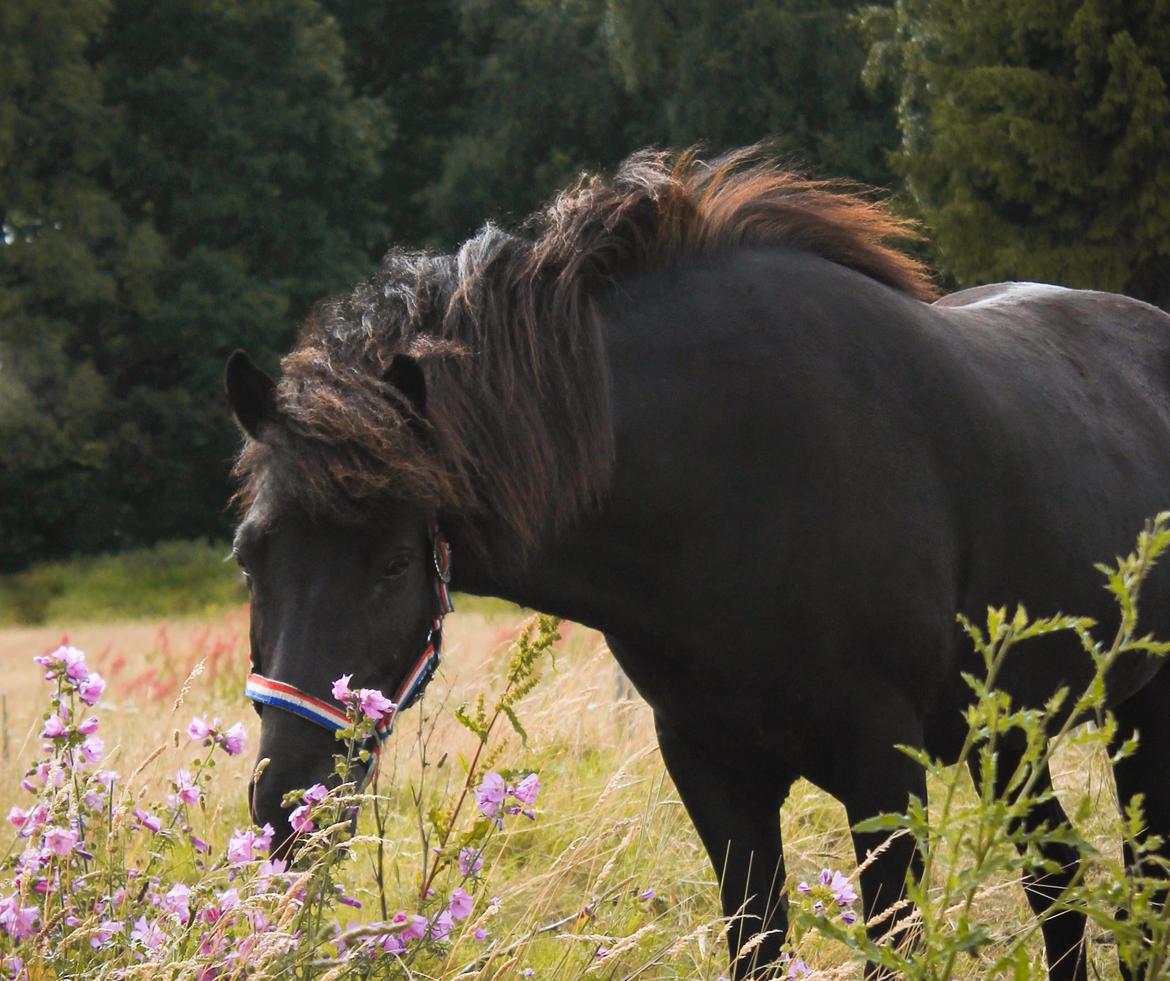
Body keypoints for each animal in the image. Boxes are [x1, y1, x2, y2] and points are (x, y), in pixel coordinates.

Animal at [225, 143, 1170, 973]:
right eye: (248, 557)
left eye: (392, 563)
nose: (287, 810)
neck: (739, 480)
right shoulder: (713, 770)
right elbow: (756, 939)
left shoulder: (883, 770)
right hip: (1008, 734)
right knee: (1061, 883)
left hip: (1134, 718)